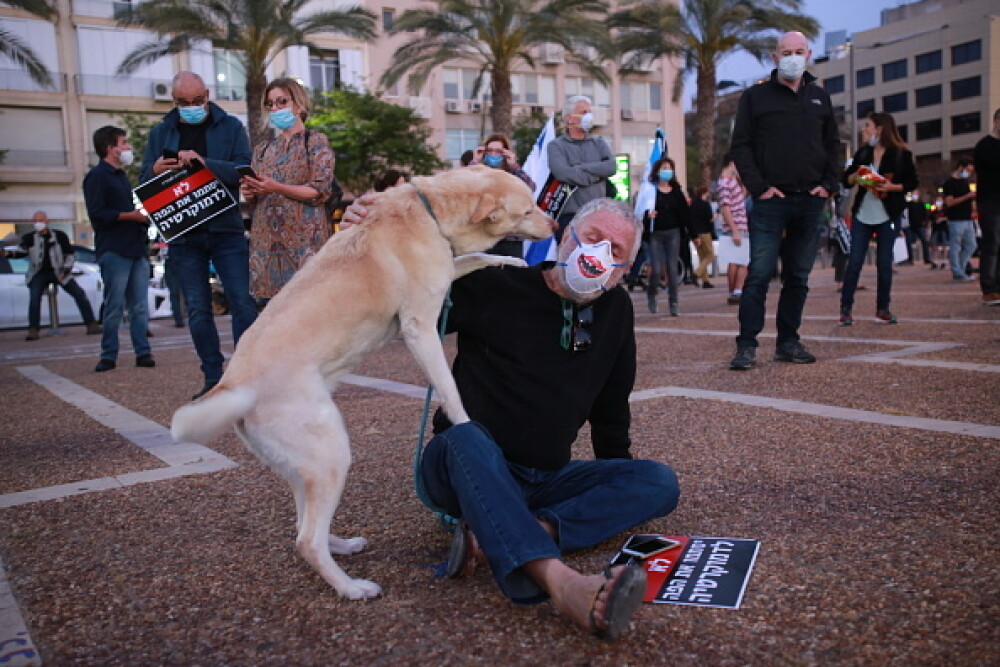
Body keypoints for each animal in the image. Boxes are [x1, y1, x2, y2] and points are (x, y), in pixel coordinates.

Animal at [168, 166, 552, 600]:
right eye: (528, 209)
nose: (556, 225)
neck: (429, 211)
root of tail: (234, 387)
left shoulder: (447, 270)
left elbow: (478, 257)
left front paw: (511, 261)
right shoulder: (420, 327)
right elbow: (450, 391)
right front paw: (468, 425)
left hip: (305, 468)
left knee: (304, 526)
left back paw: (342, 546)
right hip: (332, 456)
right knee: (307, 540)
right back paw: (352, 588)